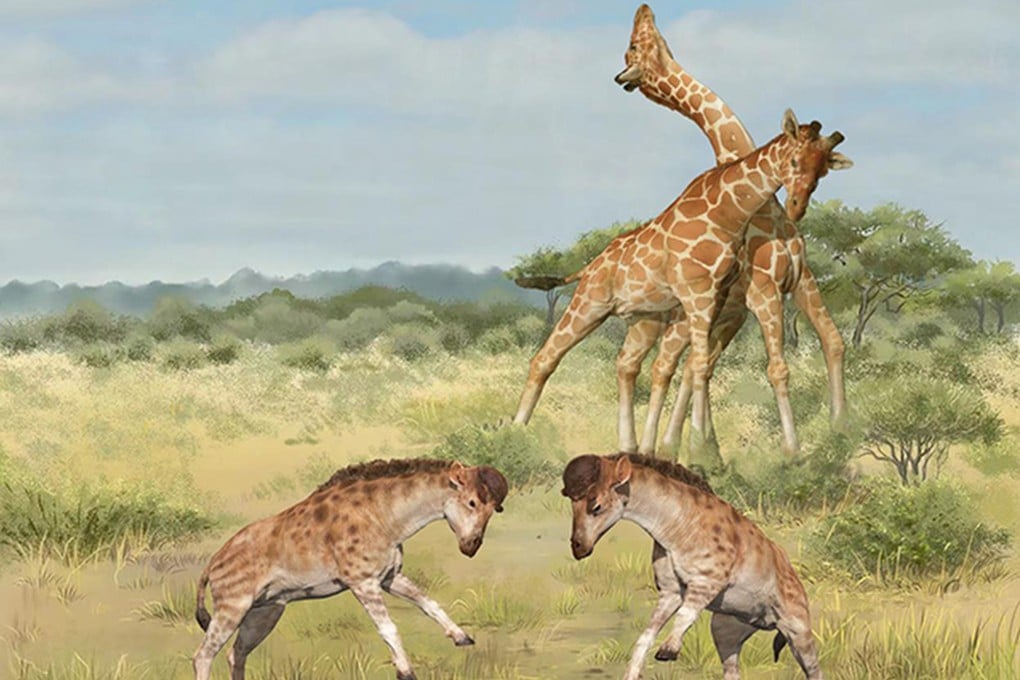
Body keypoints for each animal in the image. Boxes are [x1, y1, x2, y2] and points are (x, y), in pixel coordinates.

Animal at [191, 458, 508, 680]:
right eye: (472, 502)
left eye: (494, 509)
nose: (471, 546)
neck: (384, 515)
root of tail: (212, 564)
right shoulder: (363, 583)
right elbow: (388, 628)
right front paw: (406, 671)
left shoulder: (389, 578)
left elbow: (429, 603)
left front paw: (461, 637)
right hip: (233, 607)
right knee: (203, 655)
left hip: (264, 613)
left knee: (236, 653)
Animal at [512, 110, 851, 464]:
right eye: (795, 160)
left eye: (823, 169)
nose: (797, 206)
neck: (729, 214)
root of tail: (589, 266)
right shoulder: (708, 293)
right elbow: (705, 365)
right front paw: (705, 451)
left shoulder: (719, 297)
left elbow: (698, 366)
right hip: (590, 304)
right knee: (545, 358)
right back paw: (515, 433)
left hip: (645, 320)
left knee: (628, 365)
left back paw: (631, 447)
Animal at [562, 453, 822, 679]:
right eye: (571, 505)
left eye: (596, 506)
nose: (577, 547)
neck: (676, 526)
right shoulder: (670, 592)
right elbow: (645, 637)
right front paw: (634, 671)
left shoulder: (708, 581)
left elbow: (685, 614)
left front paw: (668, 650)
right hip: (725, 630)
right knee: (732, 669)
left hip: (797, 630)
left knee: (814, 670)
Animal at [612, 4, 849, 460]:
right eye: (633, 45)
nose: (644, 10)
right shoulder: (760, 292)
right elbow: (774, 367)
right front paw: (792, 451)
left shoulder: (796, 281)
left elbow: (832, 340)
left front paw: (841, 432)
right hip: (692, 316)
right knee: (661, 364)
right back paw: (665, 448)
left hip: (716, 316)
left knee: (680, 366)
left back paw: (679, 447)